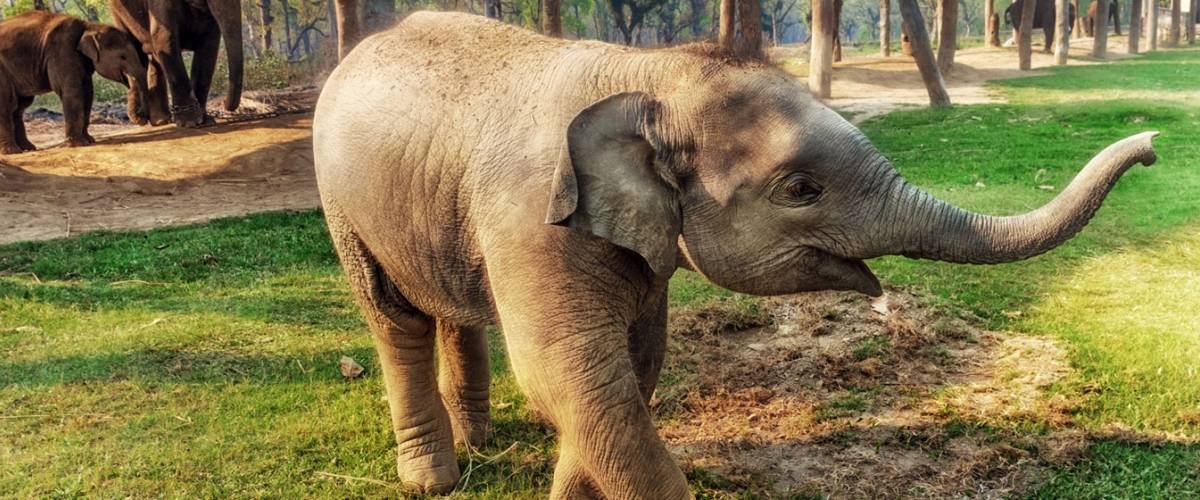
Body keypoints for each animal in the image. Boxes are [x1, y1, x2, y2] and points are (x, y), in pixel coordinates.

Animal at [0, 11, 148, 154]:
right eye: (123, 57)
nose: (143, 119)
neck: (89, 26)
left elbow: (88, 93)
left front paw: (89, 140)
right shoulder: (62, 52)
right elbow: (72, 91)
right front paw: (78, 144)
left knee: (20, 107)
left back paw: (28, 148)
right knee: (8, 105)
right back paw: (12, 151)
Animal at [109, 0, 243, 127]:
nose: (224, 103)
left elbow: (209, 48)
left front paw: (205, 120)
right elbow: (165, 42)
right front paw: (189, 122)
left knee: (153, 58)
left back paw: (160, 120)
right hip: (118, 13)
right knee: (135, 53)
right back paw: (142, 118)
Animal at [313, 11, 1157, 497]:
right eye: (801, 189)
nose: (1152, 146)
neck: (649, 74)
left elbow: (631, 368)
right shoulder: (532, 221)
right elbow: (572, 379)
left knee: (450, 308)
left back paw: (479, 439)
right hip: (339, 203)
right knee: (394, 318)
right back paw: (433, 477)